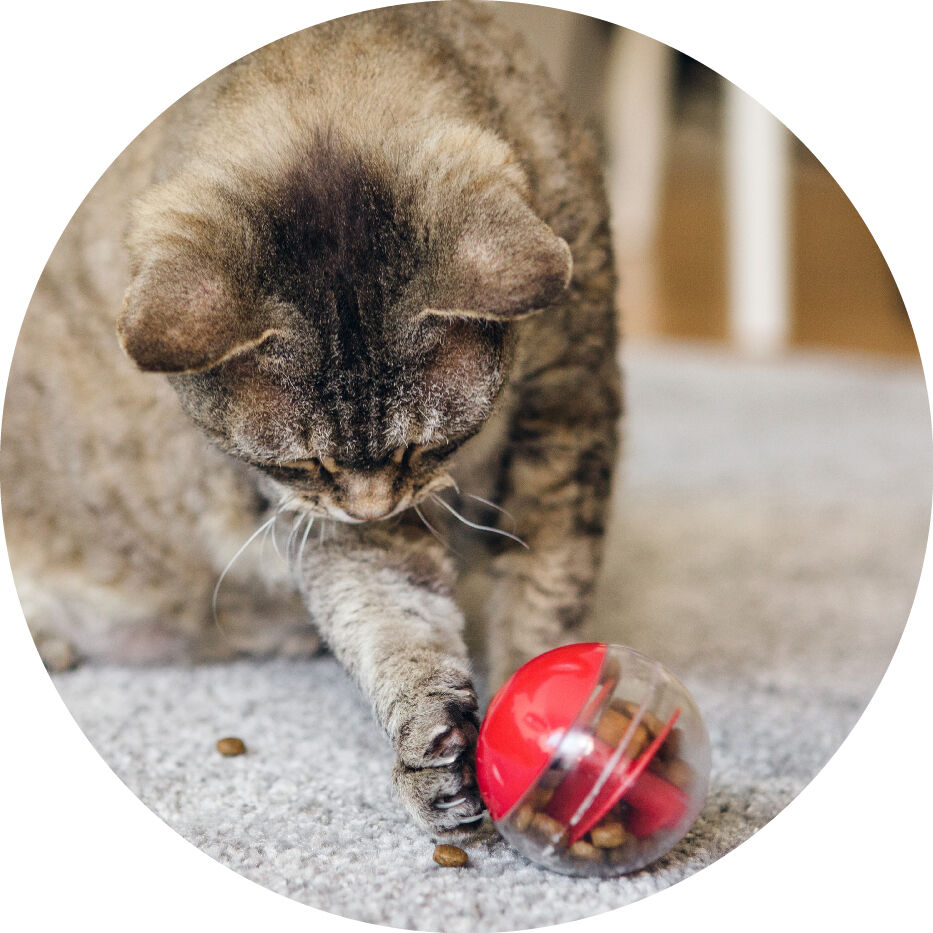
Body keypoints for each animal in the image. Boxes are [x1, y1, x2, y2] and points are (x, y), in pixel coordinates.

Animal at [5, 1, 628, 836]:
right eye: (303, 462)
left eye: (424, 445)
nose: (370, 505)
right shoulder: (327, 518)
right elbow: (394, 616)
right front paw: (434, 743)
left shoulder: (567, 416)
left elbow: (543, 590)